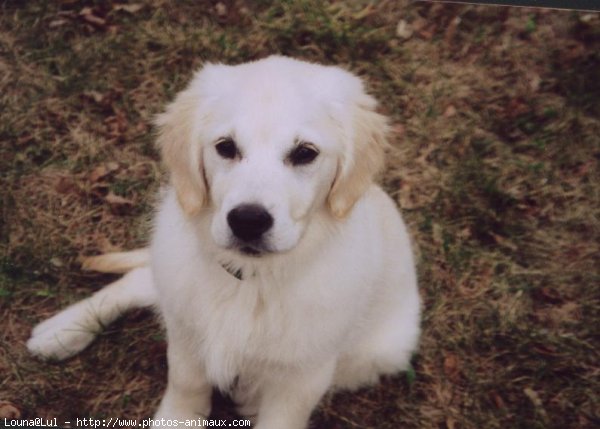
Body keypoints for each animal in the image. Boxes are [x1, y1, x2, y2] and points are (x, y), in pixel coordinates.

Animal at [28, 56, 422, 428]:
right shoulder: (186, 335)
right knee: (140, 280)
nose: (248, 221)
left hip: (384, 349)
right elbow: (186, 384)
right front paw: (178, 419)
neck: (253, 280)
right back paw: (61, 331)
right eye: (226, 147)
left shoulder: (303, 374)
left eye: (305, 153)